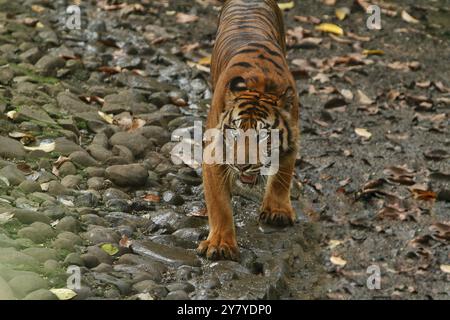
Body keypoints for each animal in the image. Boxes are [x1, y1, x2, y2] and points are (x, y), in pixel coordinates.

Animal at [197, 0, 298, 260]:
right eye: (234, 132)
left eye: (263, 136)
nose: (242, 166)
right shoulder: (214, 154)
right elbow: (220, 205)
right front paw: (220, 244)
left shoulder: (292, 141)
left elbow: (282, 177)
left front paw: (277, 211)